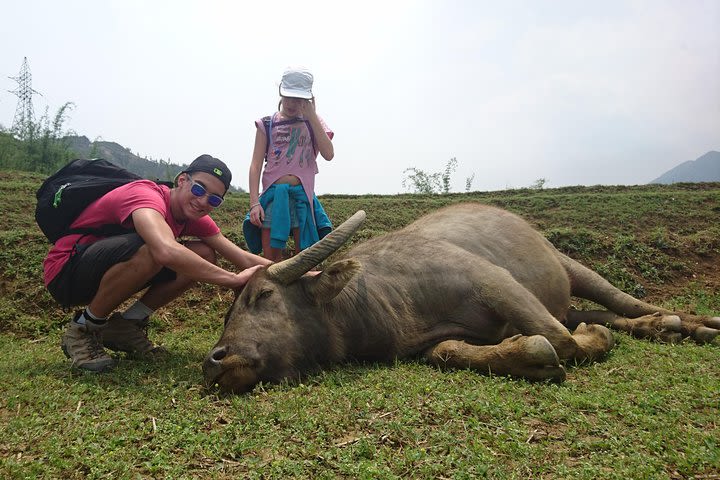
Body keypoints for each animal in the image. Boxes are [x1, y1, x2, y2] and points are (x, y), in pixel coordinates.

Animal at [204, 202, 720, 394]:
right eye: (229, 312)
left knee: (621, 302)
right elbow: (452, 352)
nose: (215, 359)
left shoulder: (492, 280)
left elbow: (561, 341)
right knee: (599, 314)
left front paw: (585, 342)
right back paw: (658, 327)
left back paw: (688, 323)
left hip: (570, 267)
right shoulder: (428, 344)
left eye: (263, 294)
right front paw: (523, 356)